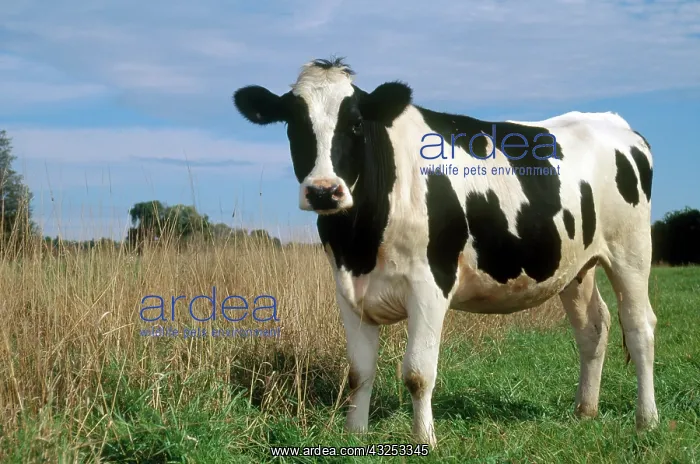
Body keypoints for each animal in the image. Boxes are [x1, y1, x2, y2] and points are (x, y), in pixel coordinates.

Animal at [232, 57, 658, 447]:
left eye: (355, 123)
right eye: (293, 124)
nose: (324, 190)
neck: (361, 243)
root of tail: (615, 123)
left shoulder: (430, 283)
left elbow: (418, 373)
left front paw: (424, 440)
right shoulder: (348, 289)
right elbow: (358, 372)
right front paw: (356, 434)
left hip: (632, 250)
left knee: (640, 327)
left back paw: (647, 419)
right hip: (576, 266)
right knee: (593, 327)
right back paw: (585, 411)